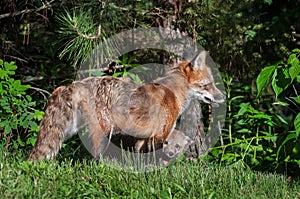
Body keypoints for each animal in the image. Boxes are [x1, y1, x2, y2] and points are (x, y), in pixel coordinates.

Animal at [27, 50, 225, 161]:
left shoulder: (141, 138)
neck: (174, 93)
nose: (223, 97)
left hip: (68, 132)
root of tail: (70, 85)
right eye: (208, 85)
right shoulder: (159, 135)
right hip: (103, 132)